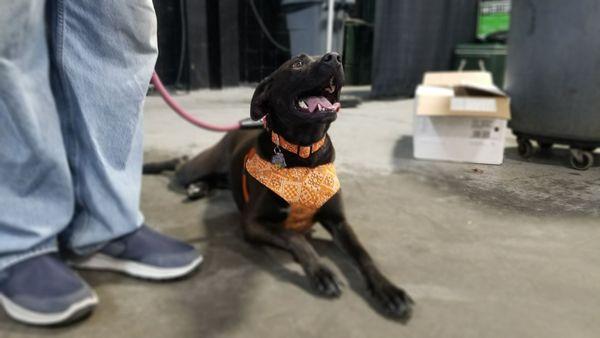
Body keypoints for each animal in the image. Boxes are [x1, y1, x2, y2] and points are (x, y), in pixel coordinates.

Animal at [146, 52, 418, 320]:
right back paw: (159, 169)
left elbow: (363, 255)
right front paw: (321, 270)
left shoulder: (338, 221)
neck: (304, 156)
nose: (335, 57)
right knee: (180, 165)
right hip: (198, 167)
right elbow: (295, 237)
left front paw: (388, 289)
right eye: (297, 64)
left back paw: (199, 188)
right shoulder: (252, 223)